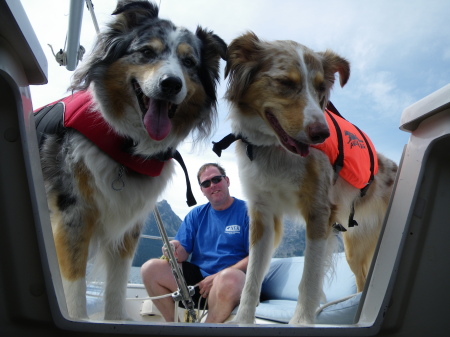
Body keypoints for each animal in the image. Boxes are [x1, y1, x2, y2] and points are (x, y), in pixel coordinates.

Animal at [33, 0, 227, 318]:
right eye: (147, 52)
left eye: (188, 62)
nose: (171, 84)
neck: (126, 147)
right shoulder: (71, 216)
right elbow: (74, 291)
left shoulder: (128, 228)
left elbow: (115, 290)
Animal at [222, 32, 398, 322]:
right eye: (285, 82)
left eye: (319, 88)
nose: (322, 134)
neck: (274, 150)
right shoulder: (262, 214)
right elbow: (251, 280)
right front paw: (243, 321)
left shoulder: (318, 212)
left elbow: (309, 278)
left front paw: (302, 321)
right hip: (355, 247)